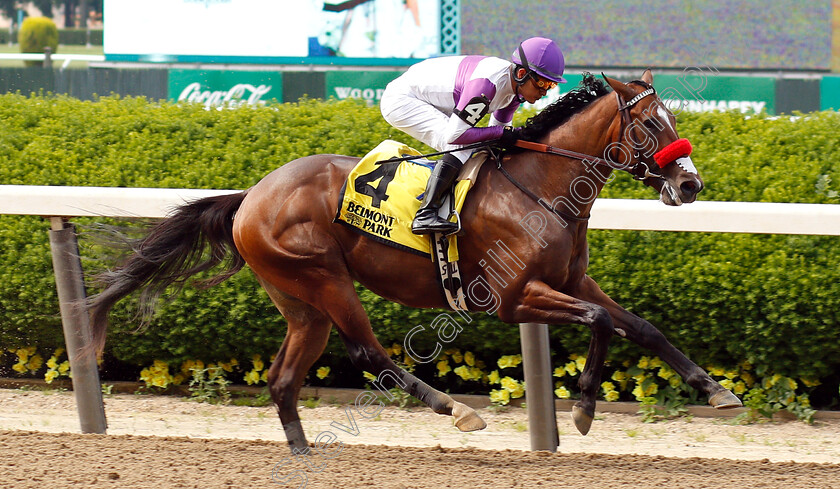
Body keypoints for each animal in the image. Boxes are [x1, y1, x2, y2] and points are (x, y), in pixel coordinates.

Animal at [87, 70, 740, 452]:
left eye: (675, 120)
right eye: (652, 123)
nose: (690, 185)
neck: (540, 187)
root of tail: (251, 195)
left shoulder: (573, 281)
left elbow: (642, 327)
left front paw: (716, 391)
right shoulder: (514, 299)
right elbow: (602, 323)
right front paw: (580, 409)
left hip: (300, 300)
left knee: (283, 377)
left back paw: (302, 450)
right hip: (324, 278)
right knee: (366, 352)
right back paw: (457, 411)